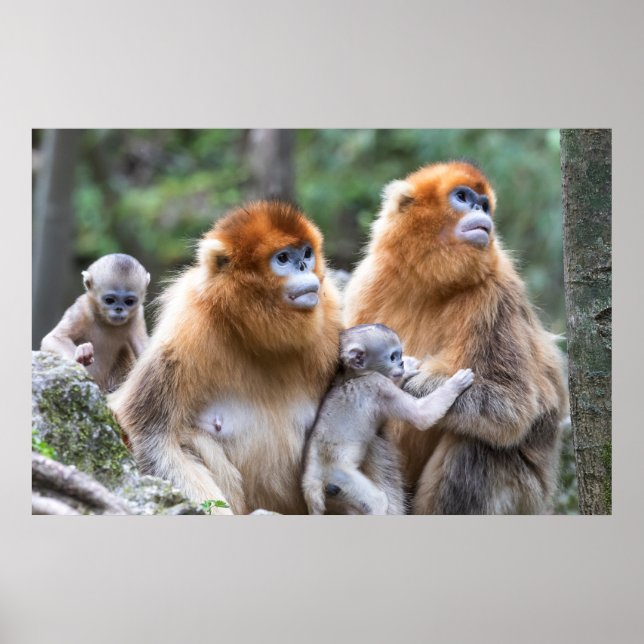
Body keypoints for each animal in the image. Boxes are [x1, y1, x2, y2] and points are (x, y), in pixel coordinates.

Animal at [40, 253, 150, 392]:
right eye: (109, 300)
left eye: (129, 301)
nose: (119, 309)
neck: (105, 321)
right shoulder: (81, 310)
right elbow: (53, 338)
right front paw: (80, 355)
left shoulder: (137, 315)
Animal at [108, 202, 344, 515]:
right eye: (283, 258)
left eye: (306, 253)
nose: (305, 266)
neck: (259, 336)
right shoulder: (186, 329)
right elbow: (152, 437)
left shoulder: (331, 316)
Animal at [302, 323, 474, 515]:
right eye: (393, 357)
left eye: (400, 355)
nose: (401, 363)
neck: (355, 376)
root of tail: (312, 480)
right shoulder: (379, 386)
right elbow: (421, 416)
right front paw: (455, 384)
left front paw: (409, 367)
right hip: (338, 476)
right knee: (377, 501)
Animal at [344, 161, 567, 514]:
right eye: (463, 197)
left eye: (484, 205)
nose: (480, 211)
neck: (431, 282)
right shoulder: (368, 280)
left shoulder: (496, 291)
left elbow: (513, 406)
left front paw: (412, 384)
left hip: (526, 496)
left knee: (476, 445)